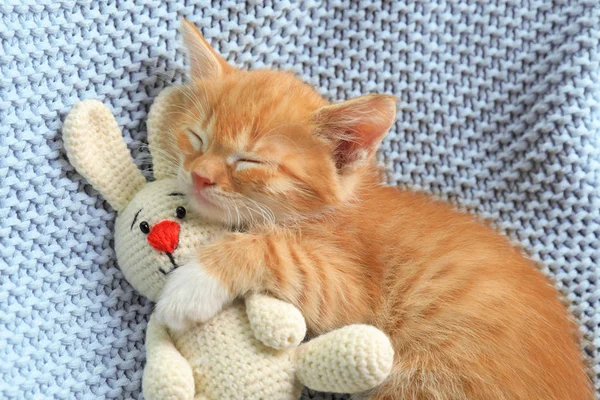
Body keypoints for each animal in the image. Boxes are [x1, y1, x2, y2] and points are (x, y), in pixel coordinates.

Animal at [152, 20, 592, 398]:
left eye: (249, 161)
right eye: (197, 137)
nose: (200, 176)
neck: (330, 209)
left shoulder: (353, 288)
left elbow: (277, 251)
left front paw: (191, 284)